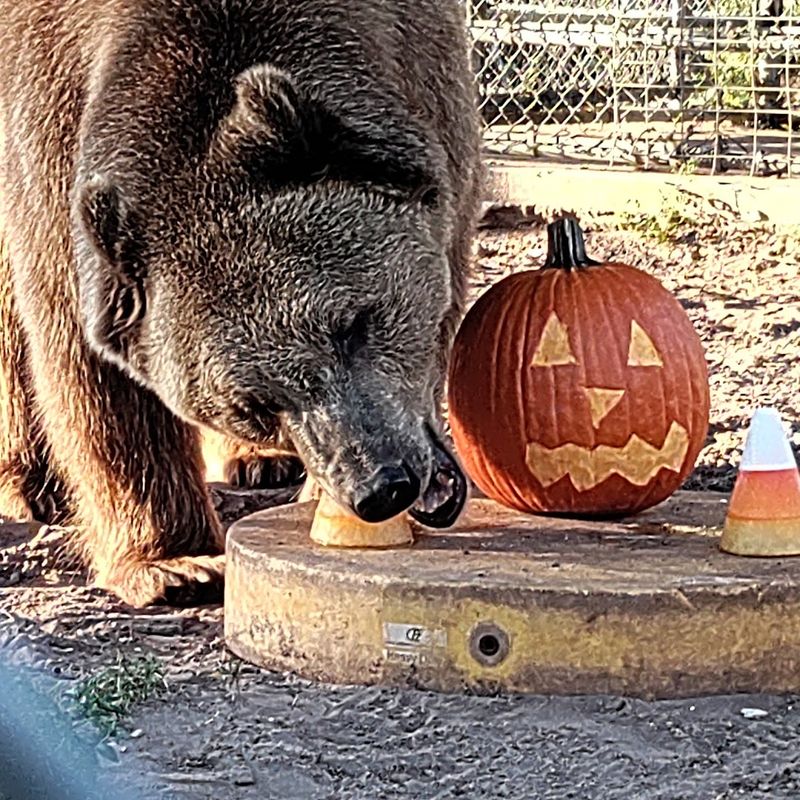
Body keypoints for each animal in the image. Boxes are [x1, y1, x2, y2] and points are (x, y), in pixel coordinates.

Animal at [0, 0, 482, 607]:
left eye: (351, 324)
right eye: (252, 405)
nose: (381, 485)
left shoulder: (422, 69)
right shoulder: (52, 122)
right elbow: (86, 360)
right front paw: (176, 562)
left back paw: (260, 464)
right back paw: (24, 483)